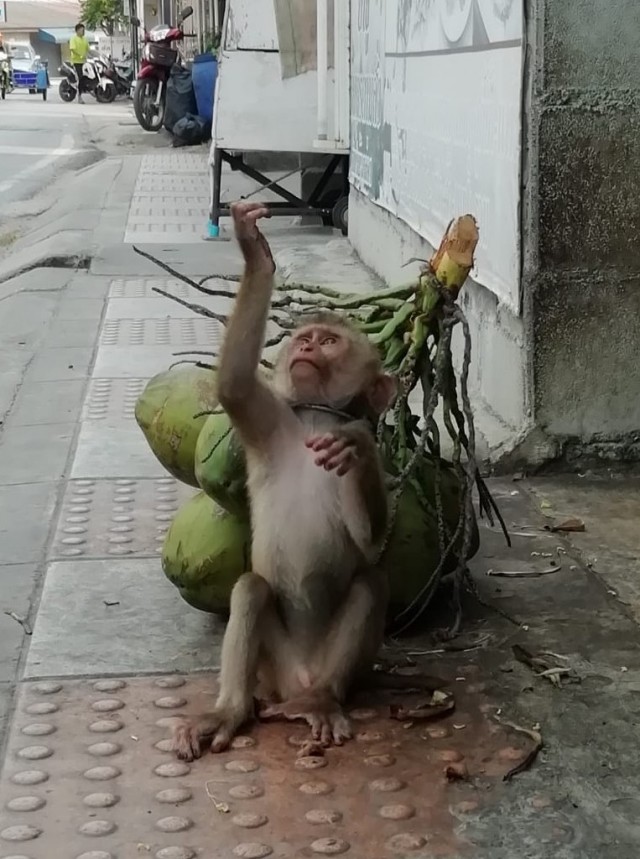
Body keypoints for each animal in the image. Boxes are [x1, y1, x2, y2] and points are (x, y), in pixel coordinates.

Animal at [172, 200, 398, 760]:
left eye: (331, 342)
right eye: (305, 338)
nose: (308, 346)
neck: (316, 417)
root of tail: (295, 681)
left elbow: (371, 540)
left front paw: (355, 447)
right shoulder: (271, 418)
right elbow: (233, 384)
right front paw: (256, 252)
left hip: (342, 667)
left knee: (370, 582)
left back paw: (320, 701)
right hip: (271, 668)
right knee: (251, 588)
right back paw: (230, 710)